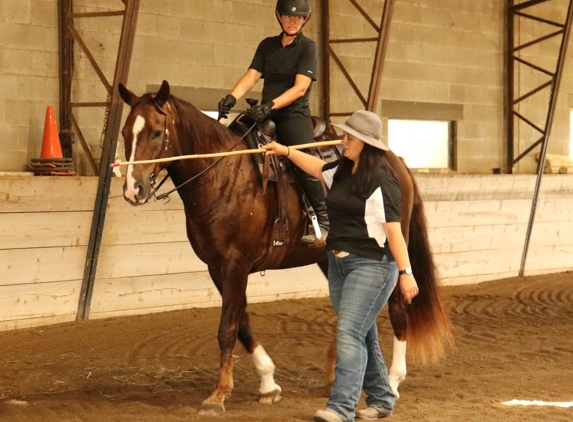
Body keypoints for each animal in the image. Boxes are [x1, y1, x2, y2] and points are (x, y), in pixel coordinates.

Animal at [118, 81, 454, 416]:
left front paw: (218, 395)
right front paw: (268, 383)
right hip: (330, 260)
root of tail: (396, 161)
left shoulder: (235, 265)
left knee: (397, 309)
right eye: (124, 132)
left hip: (393, 251)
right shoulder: (217, 267)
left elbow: (227, 328)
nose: (133, 190)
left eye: (156, 132)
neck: (224, 176)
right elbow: (242, 324)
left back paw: (393, 383)